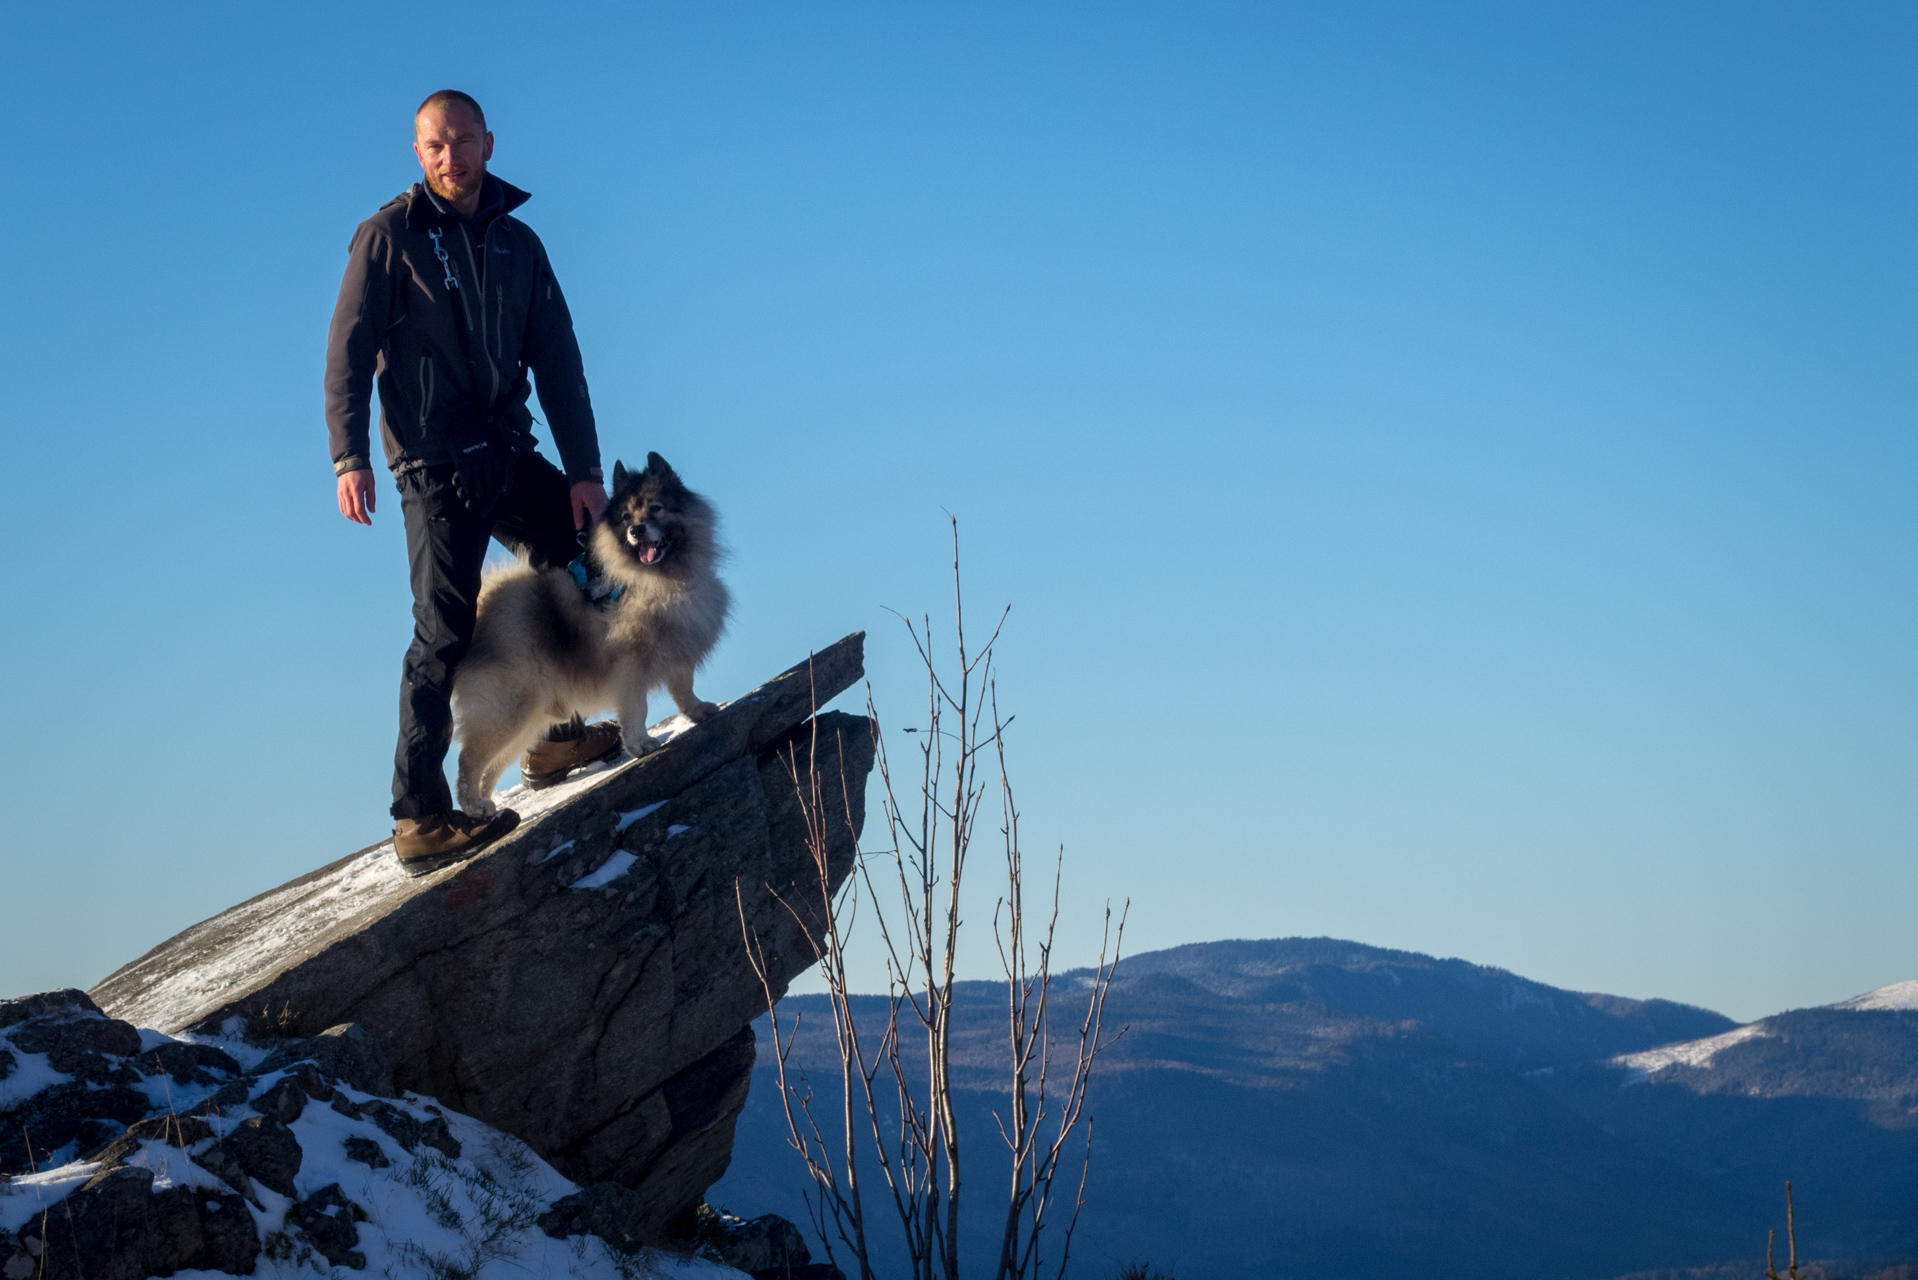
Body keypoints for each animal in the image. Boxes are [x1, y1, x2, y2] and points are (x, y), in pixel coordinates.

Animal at [448, 450, 732, 817]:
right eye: (626, 517)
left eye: (655, 508)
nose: (636, 530)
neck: (655, 581)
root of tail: (483, 609)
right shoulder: (630, 668)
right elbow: (636, 709)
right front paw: (640, 743)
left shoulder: (678, 652)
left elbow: (684, 690)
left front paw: (697, 712)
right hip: (506, 710)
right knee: (469, 761)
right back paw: (473, 808)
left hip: (526, 721)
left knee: (491, 767)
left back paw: (489, 805)